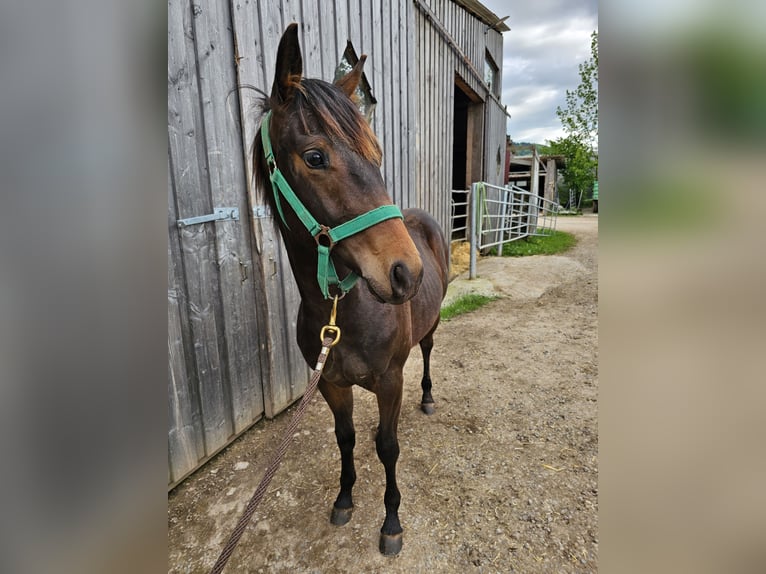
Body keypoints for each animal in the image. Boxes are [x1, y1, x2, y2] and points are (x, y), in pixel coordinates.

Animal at [252, 23, 450, 560]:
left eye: (376, 155)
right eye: (315, 157)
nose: (406, 273)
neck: (341, 313)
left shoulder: (390, 381)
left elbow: (387, 446)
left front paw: (391, 522)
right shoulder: (331, 385)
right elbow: (346, 438)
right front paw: (344, 499)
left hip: (431, 328)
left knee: (428, 352)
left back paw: (428, 397)